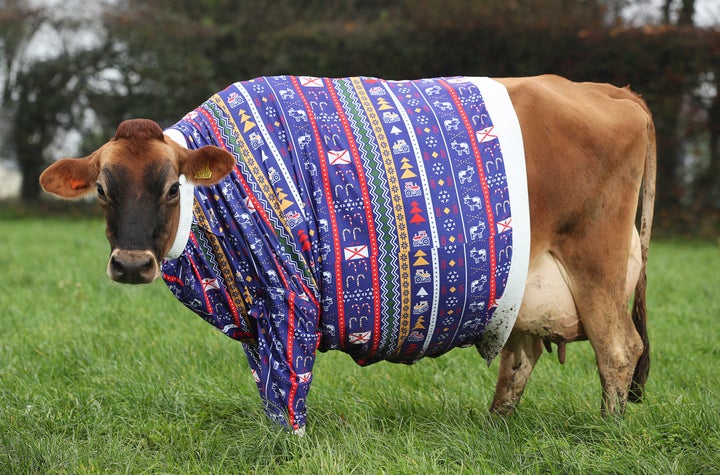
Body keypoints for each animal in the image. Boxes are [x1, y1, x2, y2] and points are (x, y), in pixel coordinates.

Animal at [40, 75, 660, 436]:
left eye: (172, 188)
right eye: (102, 189)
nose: (131, 264)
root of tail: (613, 91)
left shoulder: (288, 292)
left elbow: (286, 383)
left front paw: (287, 443)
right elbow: (265, 379)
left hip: (596, 265)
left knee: (619, 351)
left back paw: (609, 435)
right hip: (528, 287)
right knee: (520, 358)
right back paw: (496, 431)